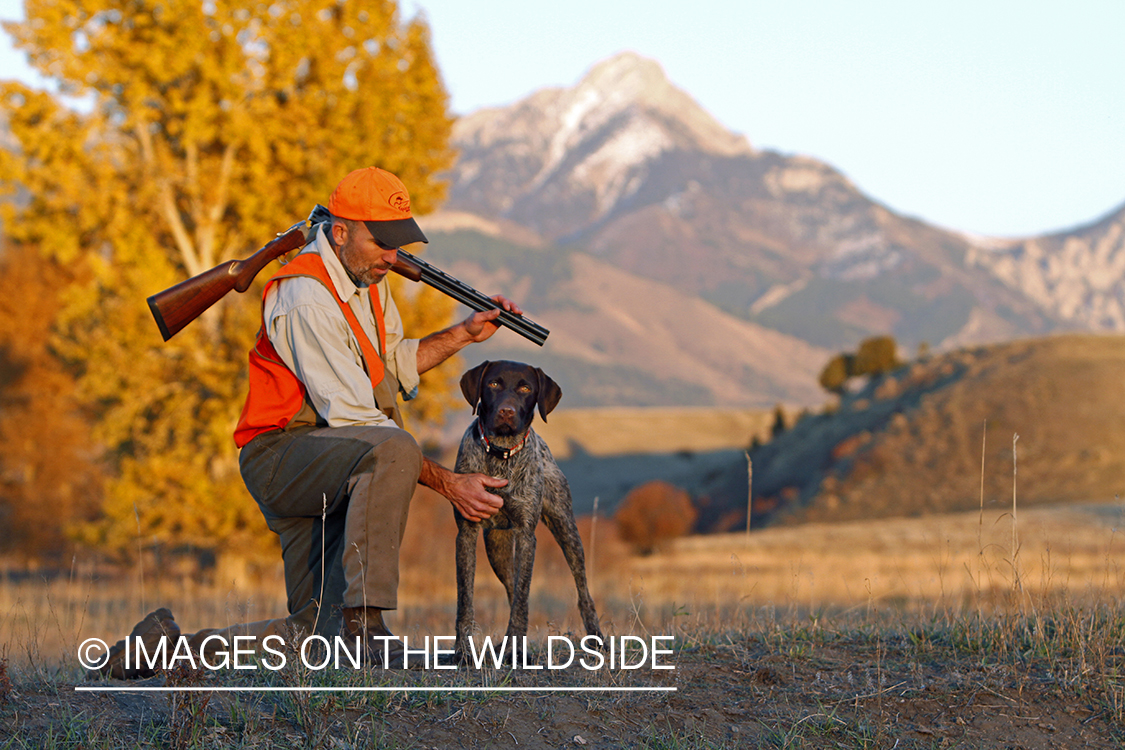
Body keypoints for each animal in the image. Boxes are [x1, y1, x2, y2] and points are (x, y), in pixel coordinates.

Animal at [452, 359, 603, 661]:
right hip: (496, 547)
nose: (506, 412)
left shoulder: (526, 534)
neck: (500, 455)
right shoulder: (466, 532)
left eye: (525, 388)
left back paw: (596, 638)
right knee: (511, 587)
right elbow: (466, 599)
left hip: (566, 530)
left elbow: (522, 599)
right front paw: (463, 650)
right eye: (493, 383)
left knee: (582, 590)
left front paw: (514, 651)